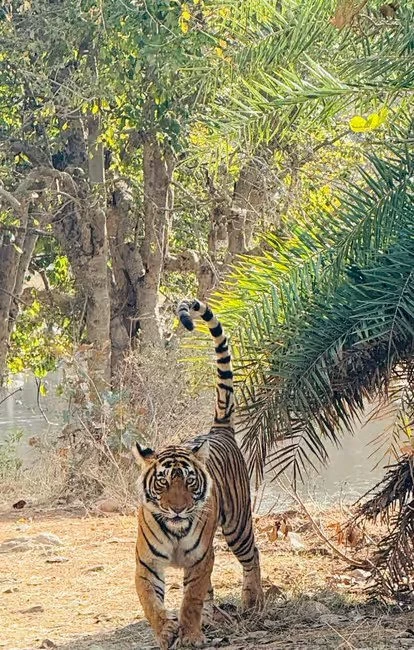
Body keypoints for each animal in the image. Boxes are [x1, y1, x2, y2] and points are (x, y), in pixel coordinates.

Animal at [132, 298, 263, 650]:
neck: (175, 531)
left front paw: (190, 636)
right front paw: (166, 632)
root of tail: (218, 428)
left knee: (252, 555)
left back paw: (252, 602)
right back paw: (213, 616)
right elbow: (151, 602)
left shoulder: (200, 558)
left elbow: (190, 598)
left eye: (189, 481)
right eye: (163, 482)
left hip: (237, 526)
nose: (178, 509)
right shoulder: (146, 564)